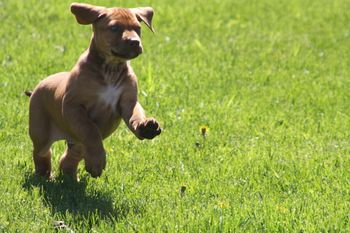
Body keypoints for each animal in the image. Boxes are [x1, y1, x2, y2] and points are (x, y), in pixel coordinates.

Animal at [27, 2, 161, 178]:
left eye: (138, 28)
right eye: (114, 28)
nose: (135, 42)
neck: (110, 69)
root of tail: (38, 86)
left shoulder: (128, 102)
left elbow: (135, 116)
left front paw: (146, 127)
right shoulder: (73, 106)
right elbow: (91, 131)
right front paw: (97, 162)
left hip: (76, 142)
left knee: (70, 157)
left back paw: (70, 177)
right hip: (40, 131)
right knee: (41, 152)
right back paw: (44, 174)